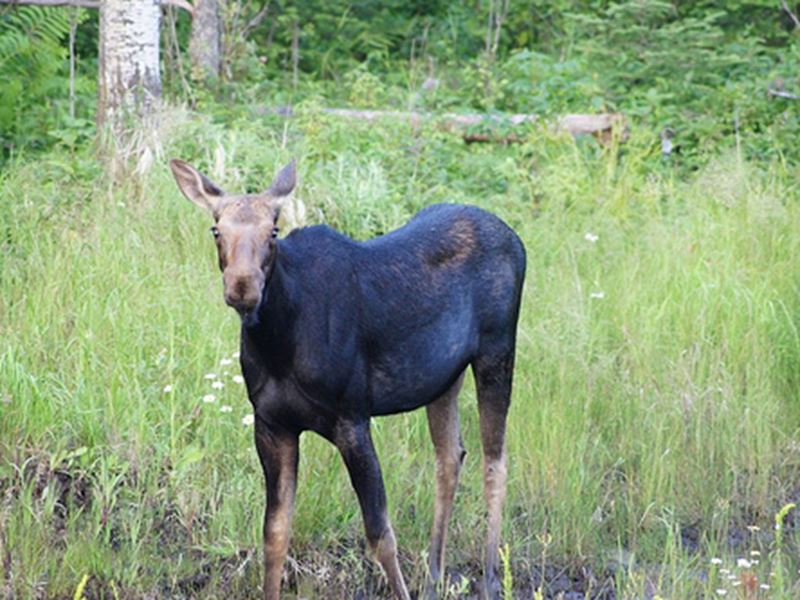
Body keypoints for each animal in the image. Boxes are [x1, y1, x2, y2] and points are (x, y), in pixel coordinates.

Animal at [169, 158, 526, 599]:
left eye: (274, 230)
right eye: (217, 229)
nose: (242, 287)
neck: (279, 343)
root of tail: (516, 238)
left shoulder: (352, 419)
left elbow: (380, 534)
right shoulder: (272, 424)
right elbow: (274, 534)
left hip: (497, 351)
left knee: (495, 461)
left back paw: (491, 579)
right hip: (443, 377)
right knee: (450, 456)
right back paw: (433, 578)